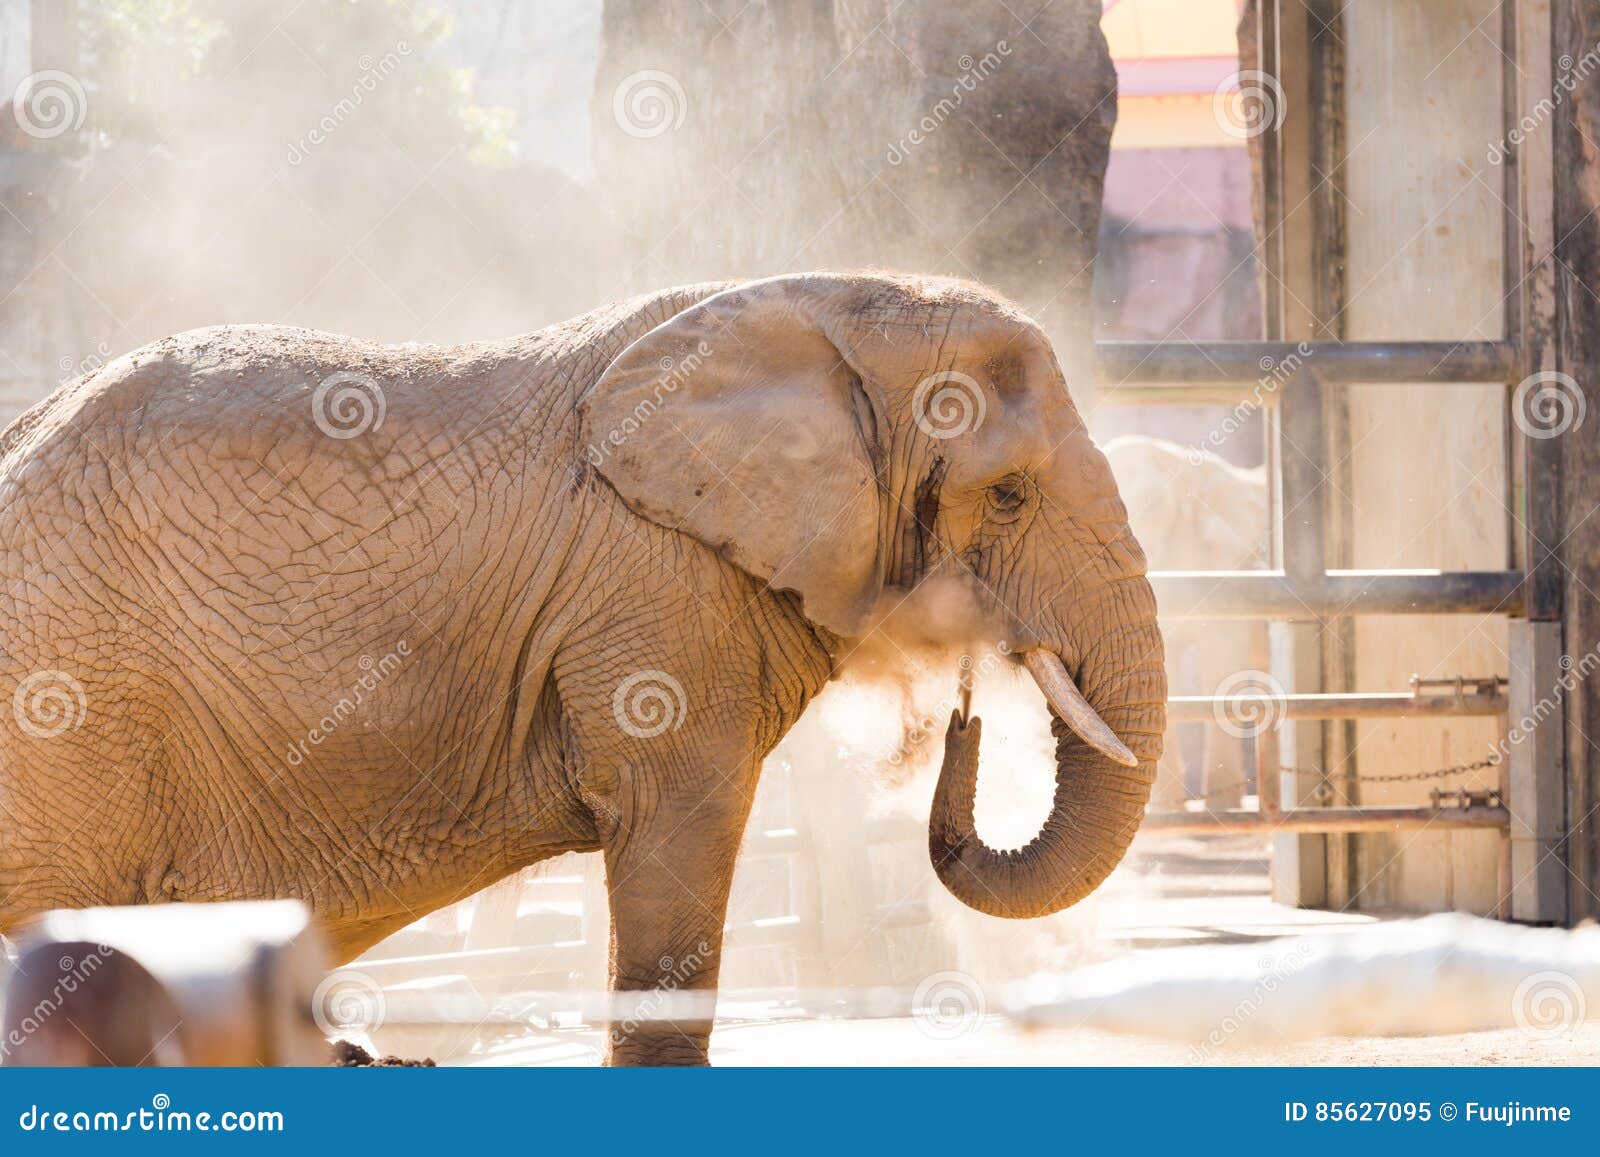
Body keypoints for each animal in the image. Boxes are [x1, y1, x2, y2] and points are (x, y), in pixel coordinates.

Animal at [0, 273, 1165, 1065]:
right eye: (1008, 494)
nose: (968, 708)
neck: (832, 302)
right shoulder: (658, 592)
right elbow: (678, 828)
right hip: (67, 721)